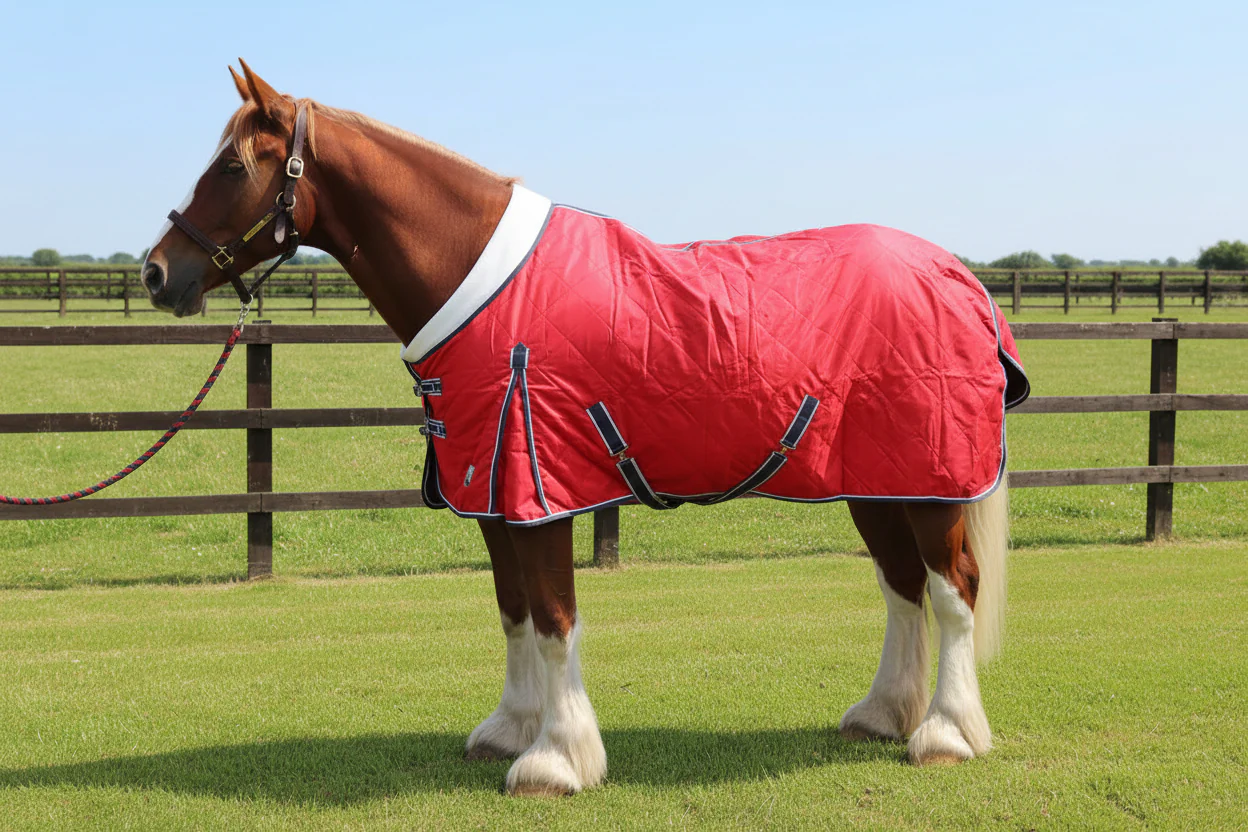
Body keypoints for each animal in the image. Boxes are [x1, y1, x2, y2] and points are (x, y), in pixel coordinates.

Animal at [141, 61, 1029, 797]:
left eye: (232, 166)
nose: (156, 272)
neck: (483, 284)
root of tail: (957, 276)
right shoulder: (492, 490)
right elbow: (513, 612)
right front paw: (512, 728)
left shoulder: (542, 490)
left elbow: (554, 618)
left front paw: (557, 759)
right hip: (877, 482)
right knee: (903, 587)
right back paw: (886, 714)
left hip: (932, 482)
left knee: (954, 590)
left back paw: (945, 734)